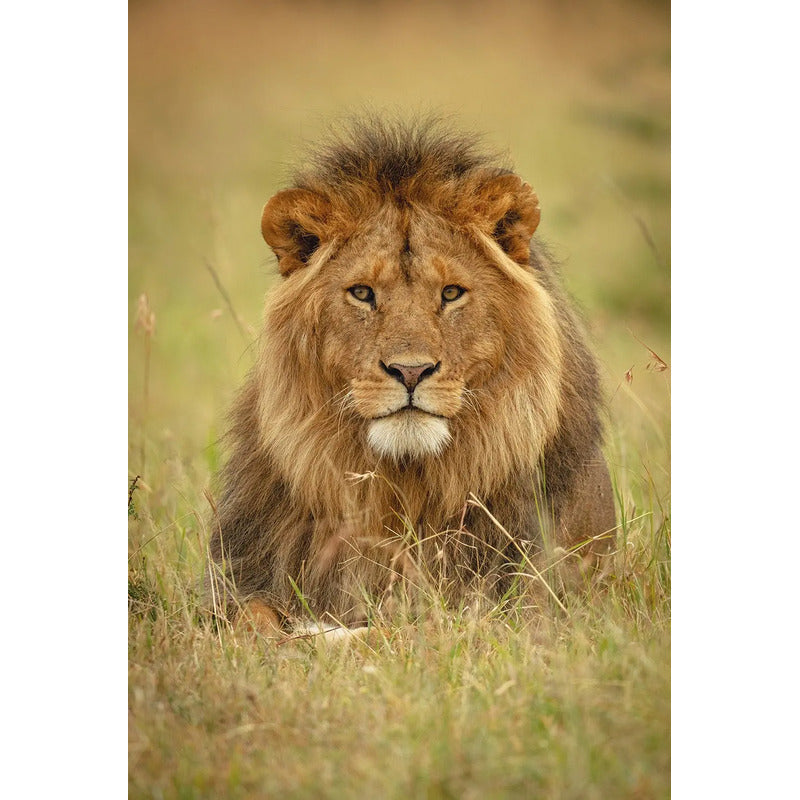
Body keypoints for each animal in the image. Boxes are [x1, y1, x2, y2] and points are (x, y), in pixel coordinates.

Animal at [209, 117, 616, 635]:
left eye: (452, 293)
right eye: (362, 293)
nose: (410, 370)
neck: (404, 490)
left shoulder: (517, 609)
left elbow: (397, 631)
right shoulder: (238, 579)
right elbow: (250, 621)